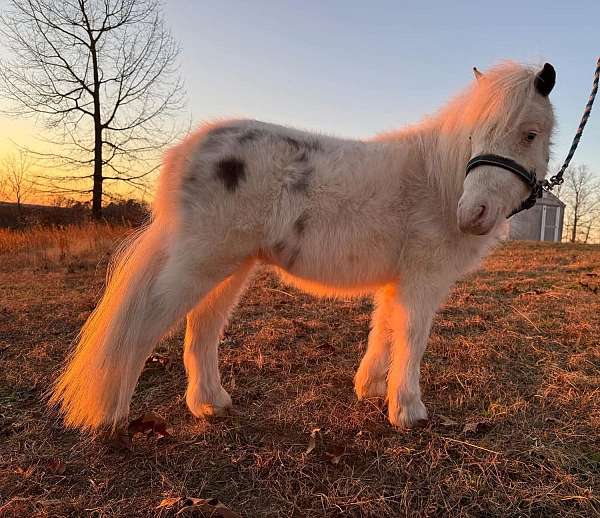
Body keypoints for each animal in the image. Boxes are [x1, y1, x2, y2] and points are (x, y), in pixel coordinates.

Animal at [50, 61, 556, 434]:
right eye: (475, 134)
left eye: (530, 134)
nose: (473, 214)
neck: (436, 180)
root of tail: (185, 153)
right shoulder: (422, 280)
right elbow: (412, 336)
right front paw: (408, 411)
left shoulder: (397, 280)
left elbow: (385, 329)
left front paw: (371, 389)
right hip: (201, 262)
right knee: (142, 326)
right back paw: (113, 416)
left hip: (229, 266)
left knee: (203, 329)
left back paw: (211, 404)